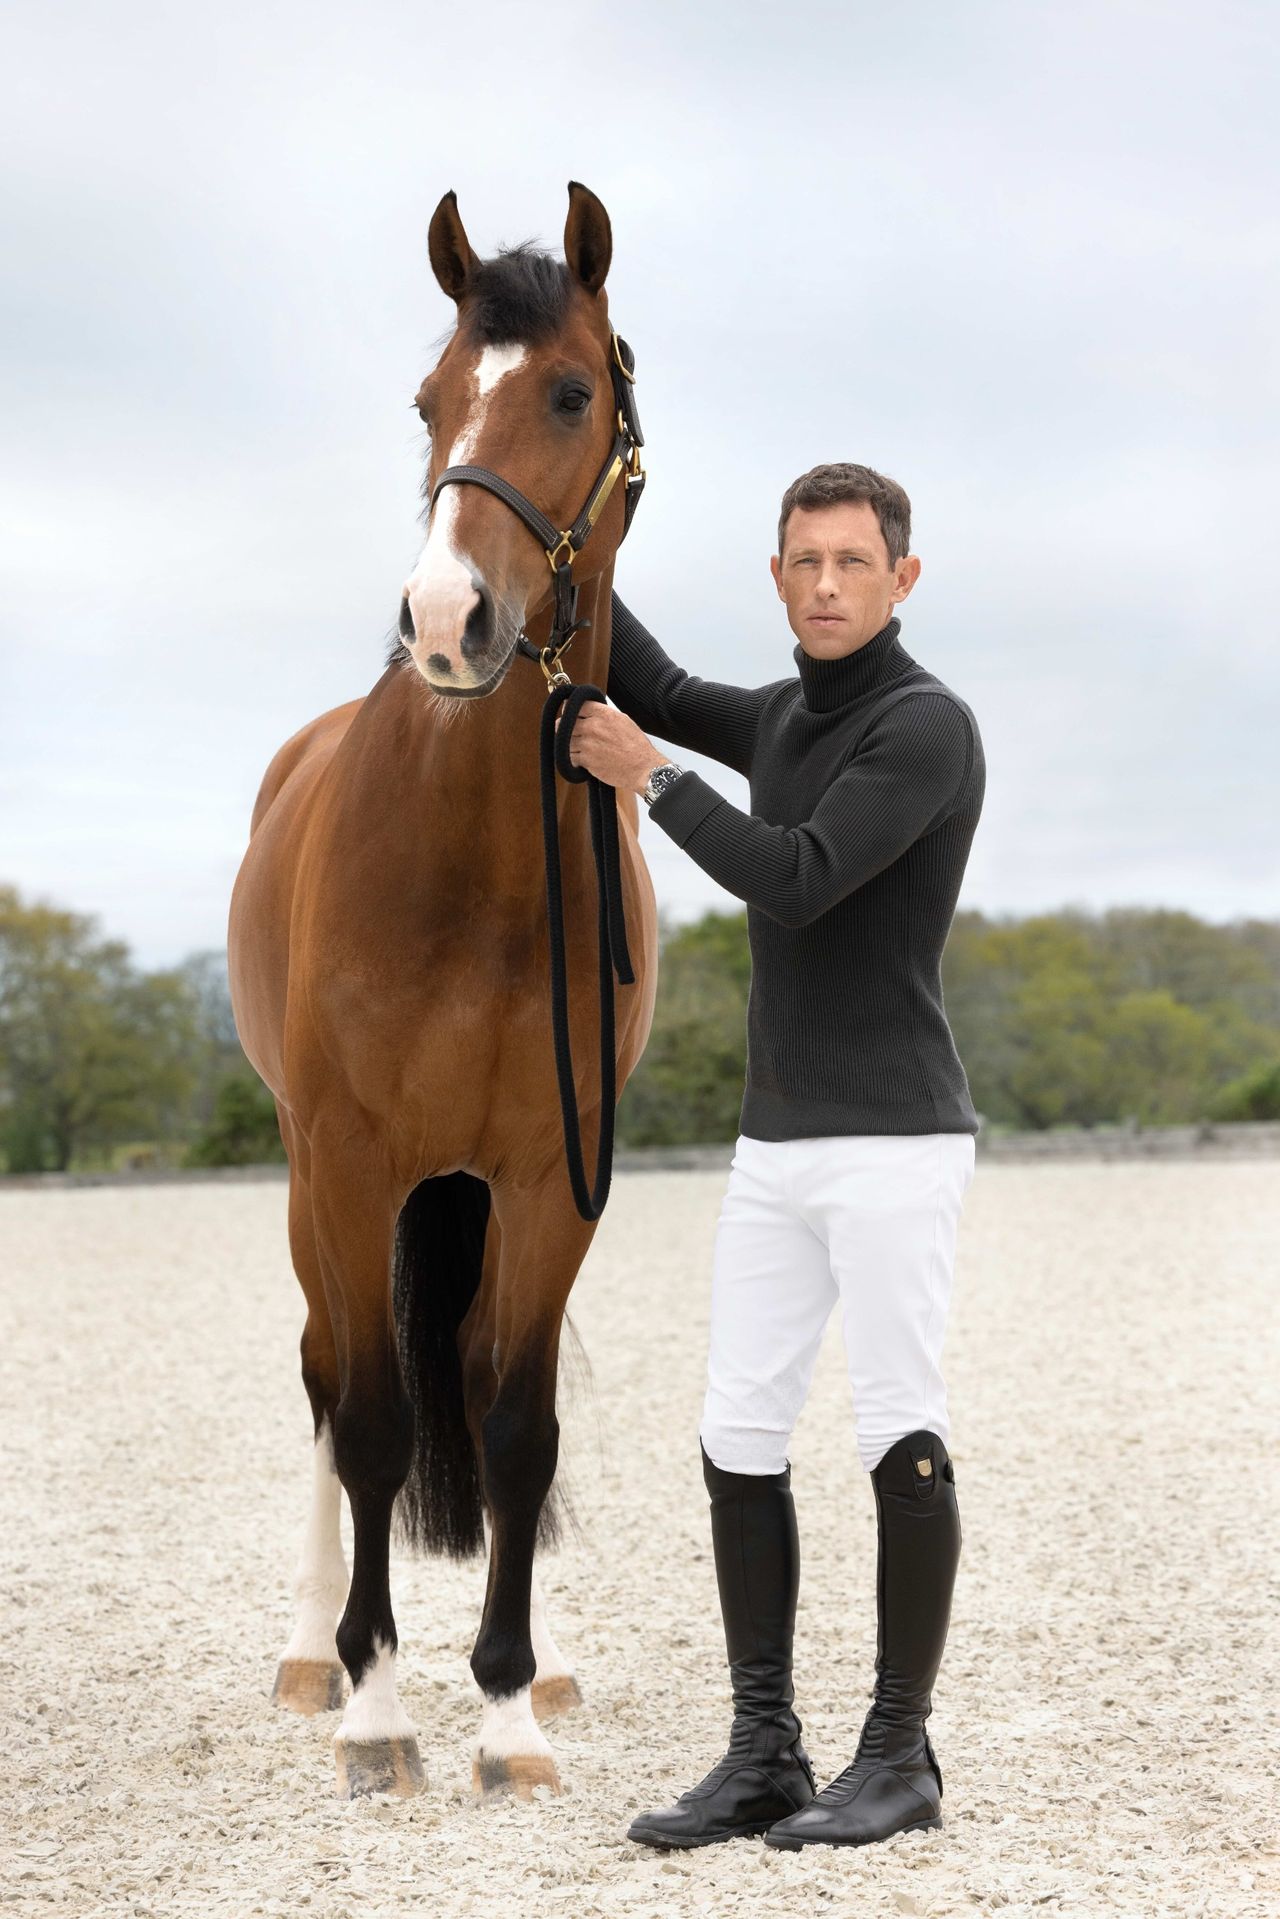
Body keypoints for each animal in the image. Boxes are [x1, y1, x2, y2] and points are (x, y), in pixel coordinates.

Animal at [227, 180, 659, 1800]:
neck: (472, 856)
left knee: (470, 1384)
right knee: (324, 1379)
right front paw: (376, 1706)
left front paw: (512, 1703)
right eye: (428, 401)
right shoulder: (352, 1165)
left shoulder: (550, 1172)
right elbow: (368, 1418)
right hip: (314, 1185)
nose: (443, 620)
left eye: (573, 390)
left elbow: (516, 1421)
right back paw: (313, 1650)